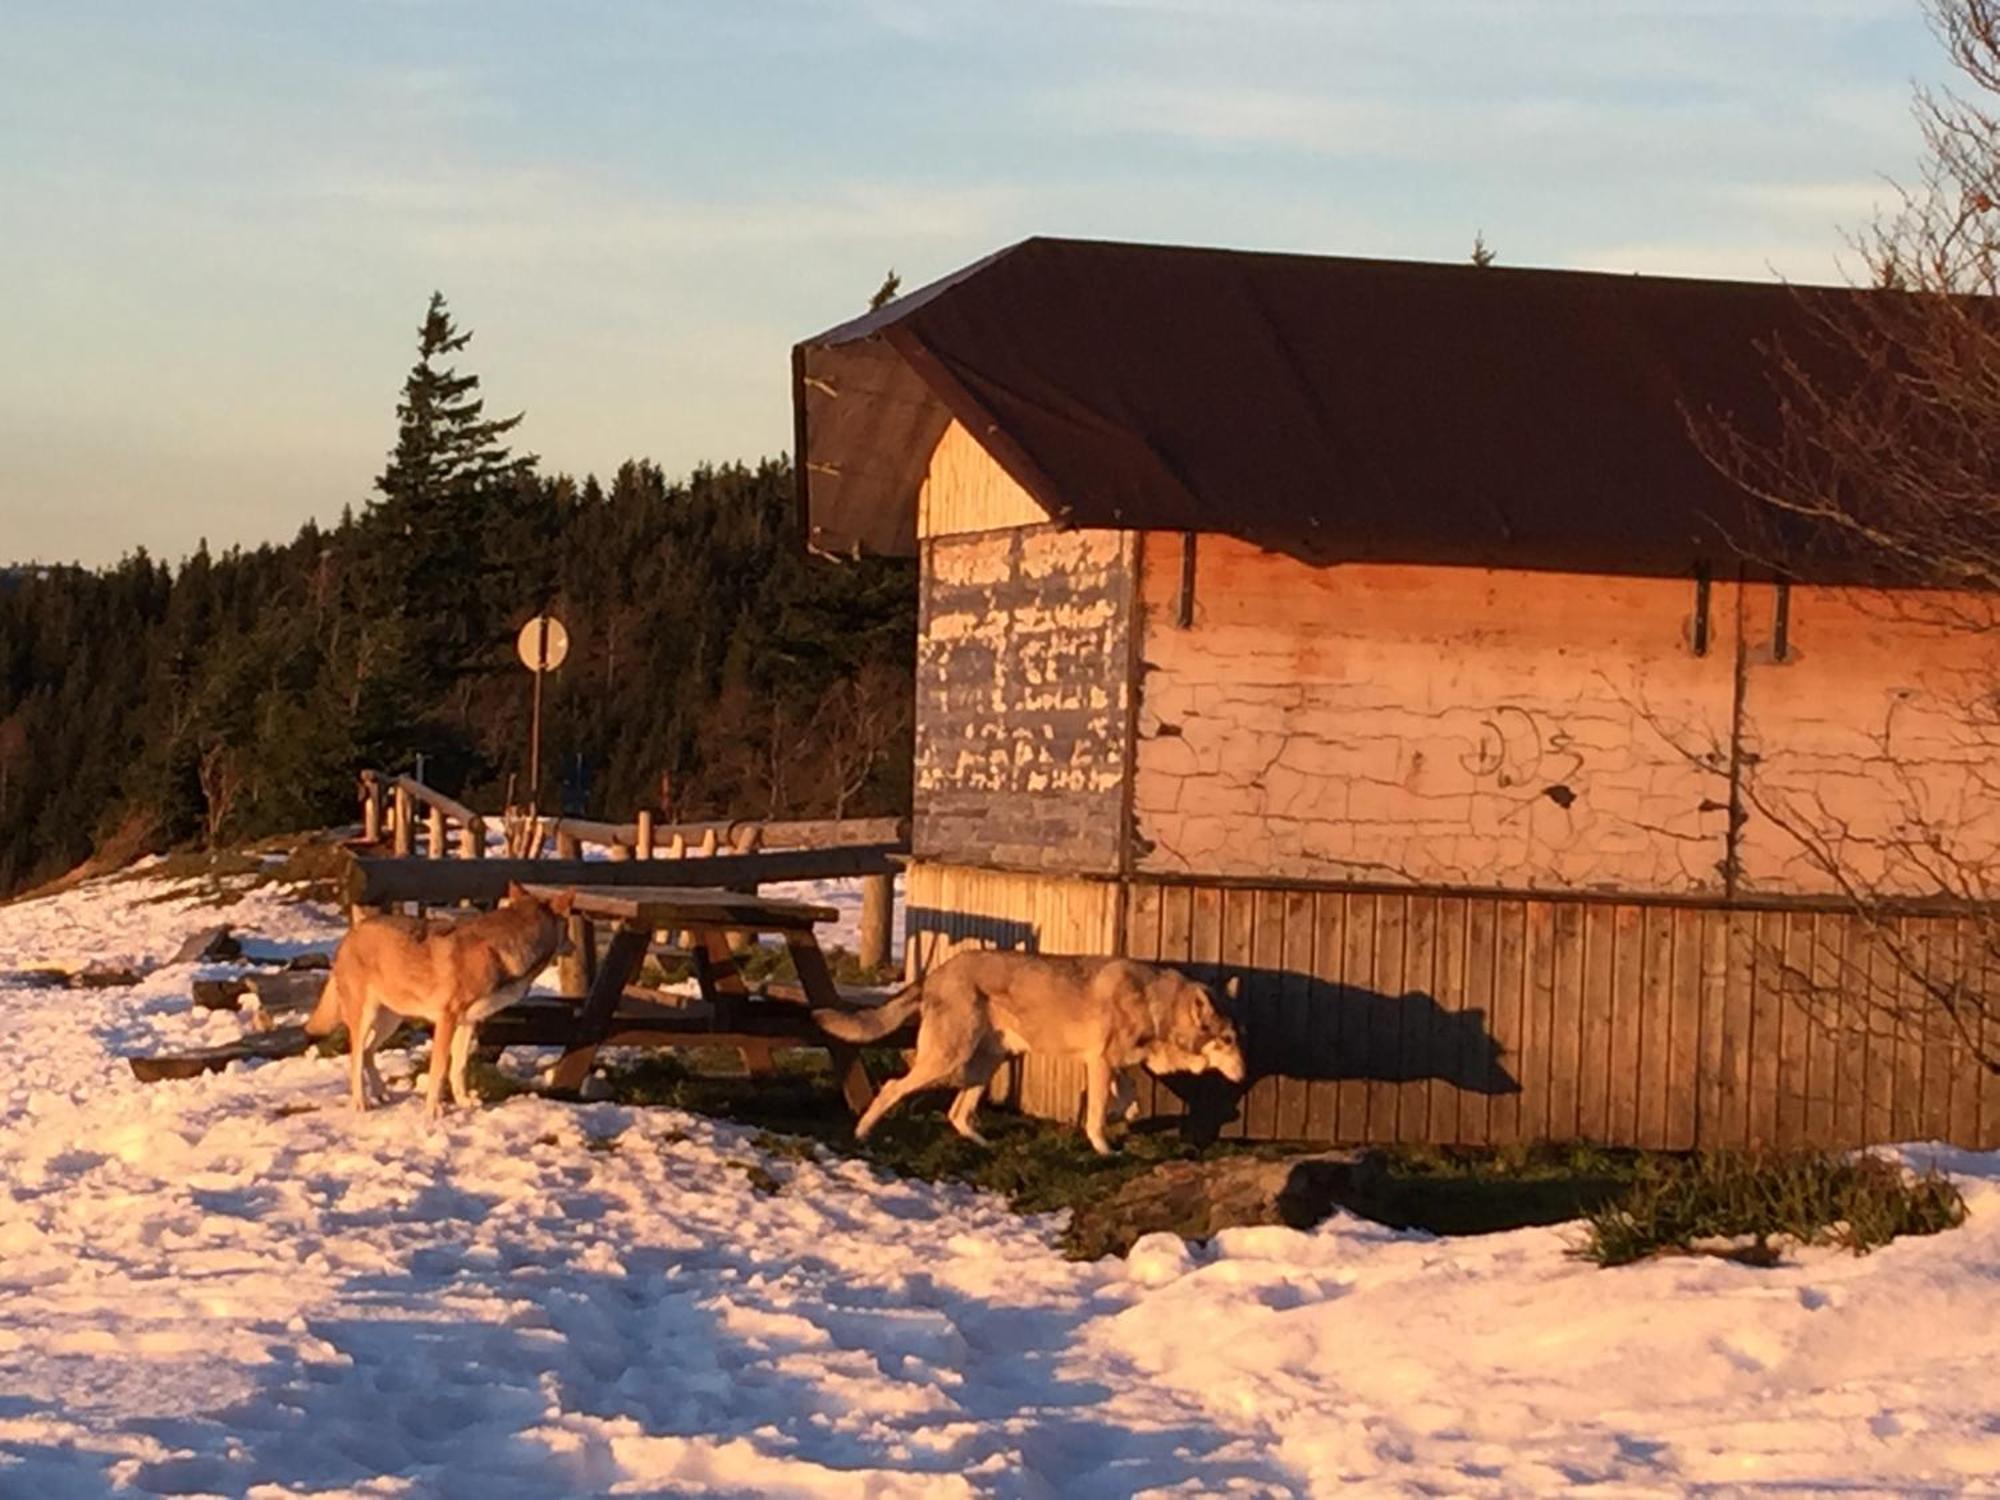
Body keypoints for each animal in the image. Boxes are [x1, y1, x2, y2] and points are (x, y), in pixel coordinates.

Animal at [304, 888, 576, 1120]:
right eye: (568, 927)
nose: (574, 946)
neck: (498, 952)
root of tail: (350, 935)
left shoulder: (468, 1023)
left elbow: (459, 1068)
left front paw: (464, 1102)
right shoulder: (447, 1021)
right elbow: (439, 1069)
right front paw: (433, 1110)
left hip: (391, 1021)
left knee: (369, 1053)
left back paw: (382, 1093)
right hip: (366, 1019)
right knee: (356, 1057)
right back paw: (361, 1102)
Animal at [808, 956, 1240, 1160]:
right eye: (1228, 1040)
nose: (1243, 1074)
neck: (1156, 1006)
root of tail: (936, 973)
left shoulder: (1111, 1064)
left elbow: (1128, 1095)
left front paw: (1124, 1114)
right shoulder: (1100, 1062)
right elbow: (1098, 1114)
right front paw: (1104, 1147)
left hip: (987, 1064)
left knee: (957, 1114)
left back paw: (984, 1144)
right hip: (948, 1058)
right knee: (894, 1088)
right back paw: (862, 1132)